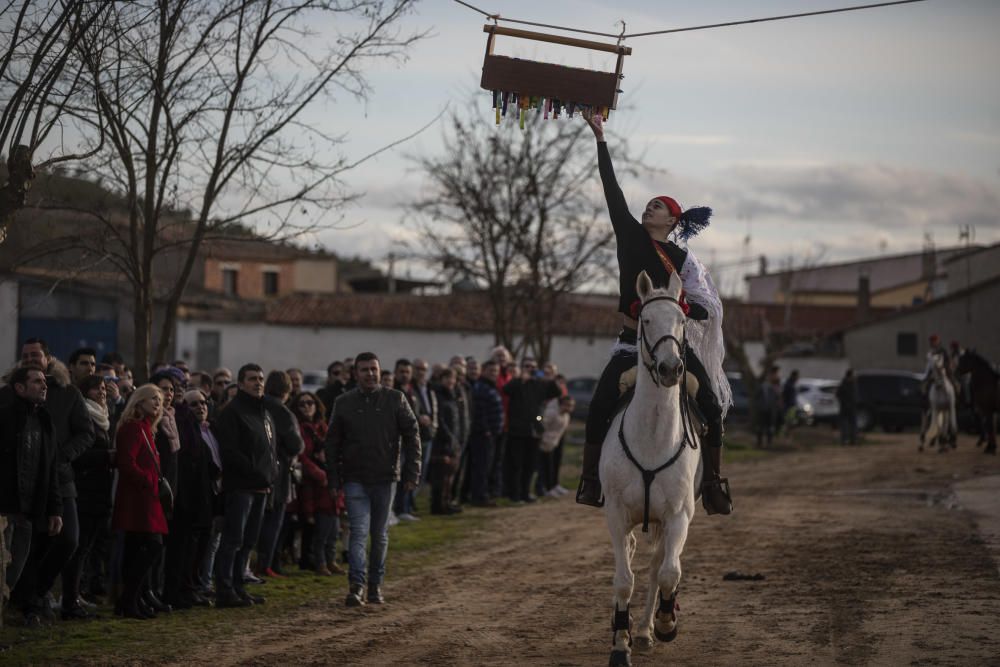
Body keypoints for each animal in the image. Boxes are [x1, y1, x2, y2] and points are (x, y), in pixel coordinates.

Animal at [600, 272, 704, 667]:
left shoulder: (678, 516)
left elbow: (668, 573)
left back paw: (645, 630)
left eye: (682, 321)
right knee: (631, 559)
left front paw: (664, 623)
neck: (653, 436)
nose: (670, 369)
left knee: (659, 566)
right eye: (645, 320)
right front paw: (619, 645)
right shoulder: (616, 513)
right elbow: (623, 579)